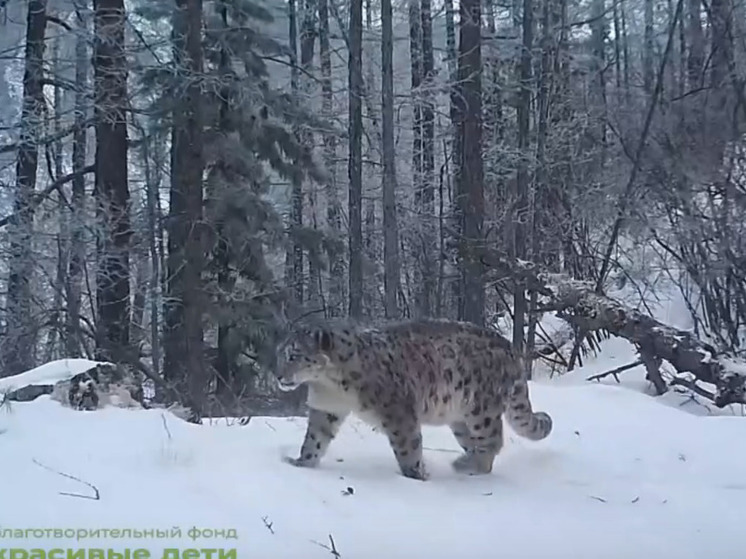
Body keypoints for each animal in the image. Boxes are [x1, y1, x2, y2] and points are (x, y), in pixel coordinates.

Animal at [274, 320, 552, 482]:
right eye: (281, 353)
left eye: (294, 355)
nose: (277, 374)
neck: (329, 385)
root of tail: (510, 348)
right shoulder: (326, 408)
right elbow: (314, 439)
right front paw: (301, 463)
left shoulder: (397, 411)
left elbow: (407, 446)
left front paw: (415, 475)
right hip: (460, 419)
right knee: (478, 445)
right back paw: (469, 465)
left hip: (481, 409)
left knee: (492, 440)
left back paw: (465, 465)